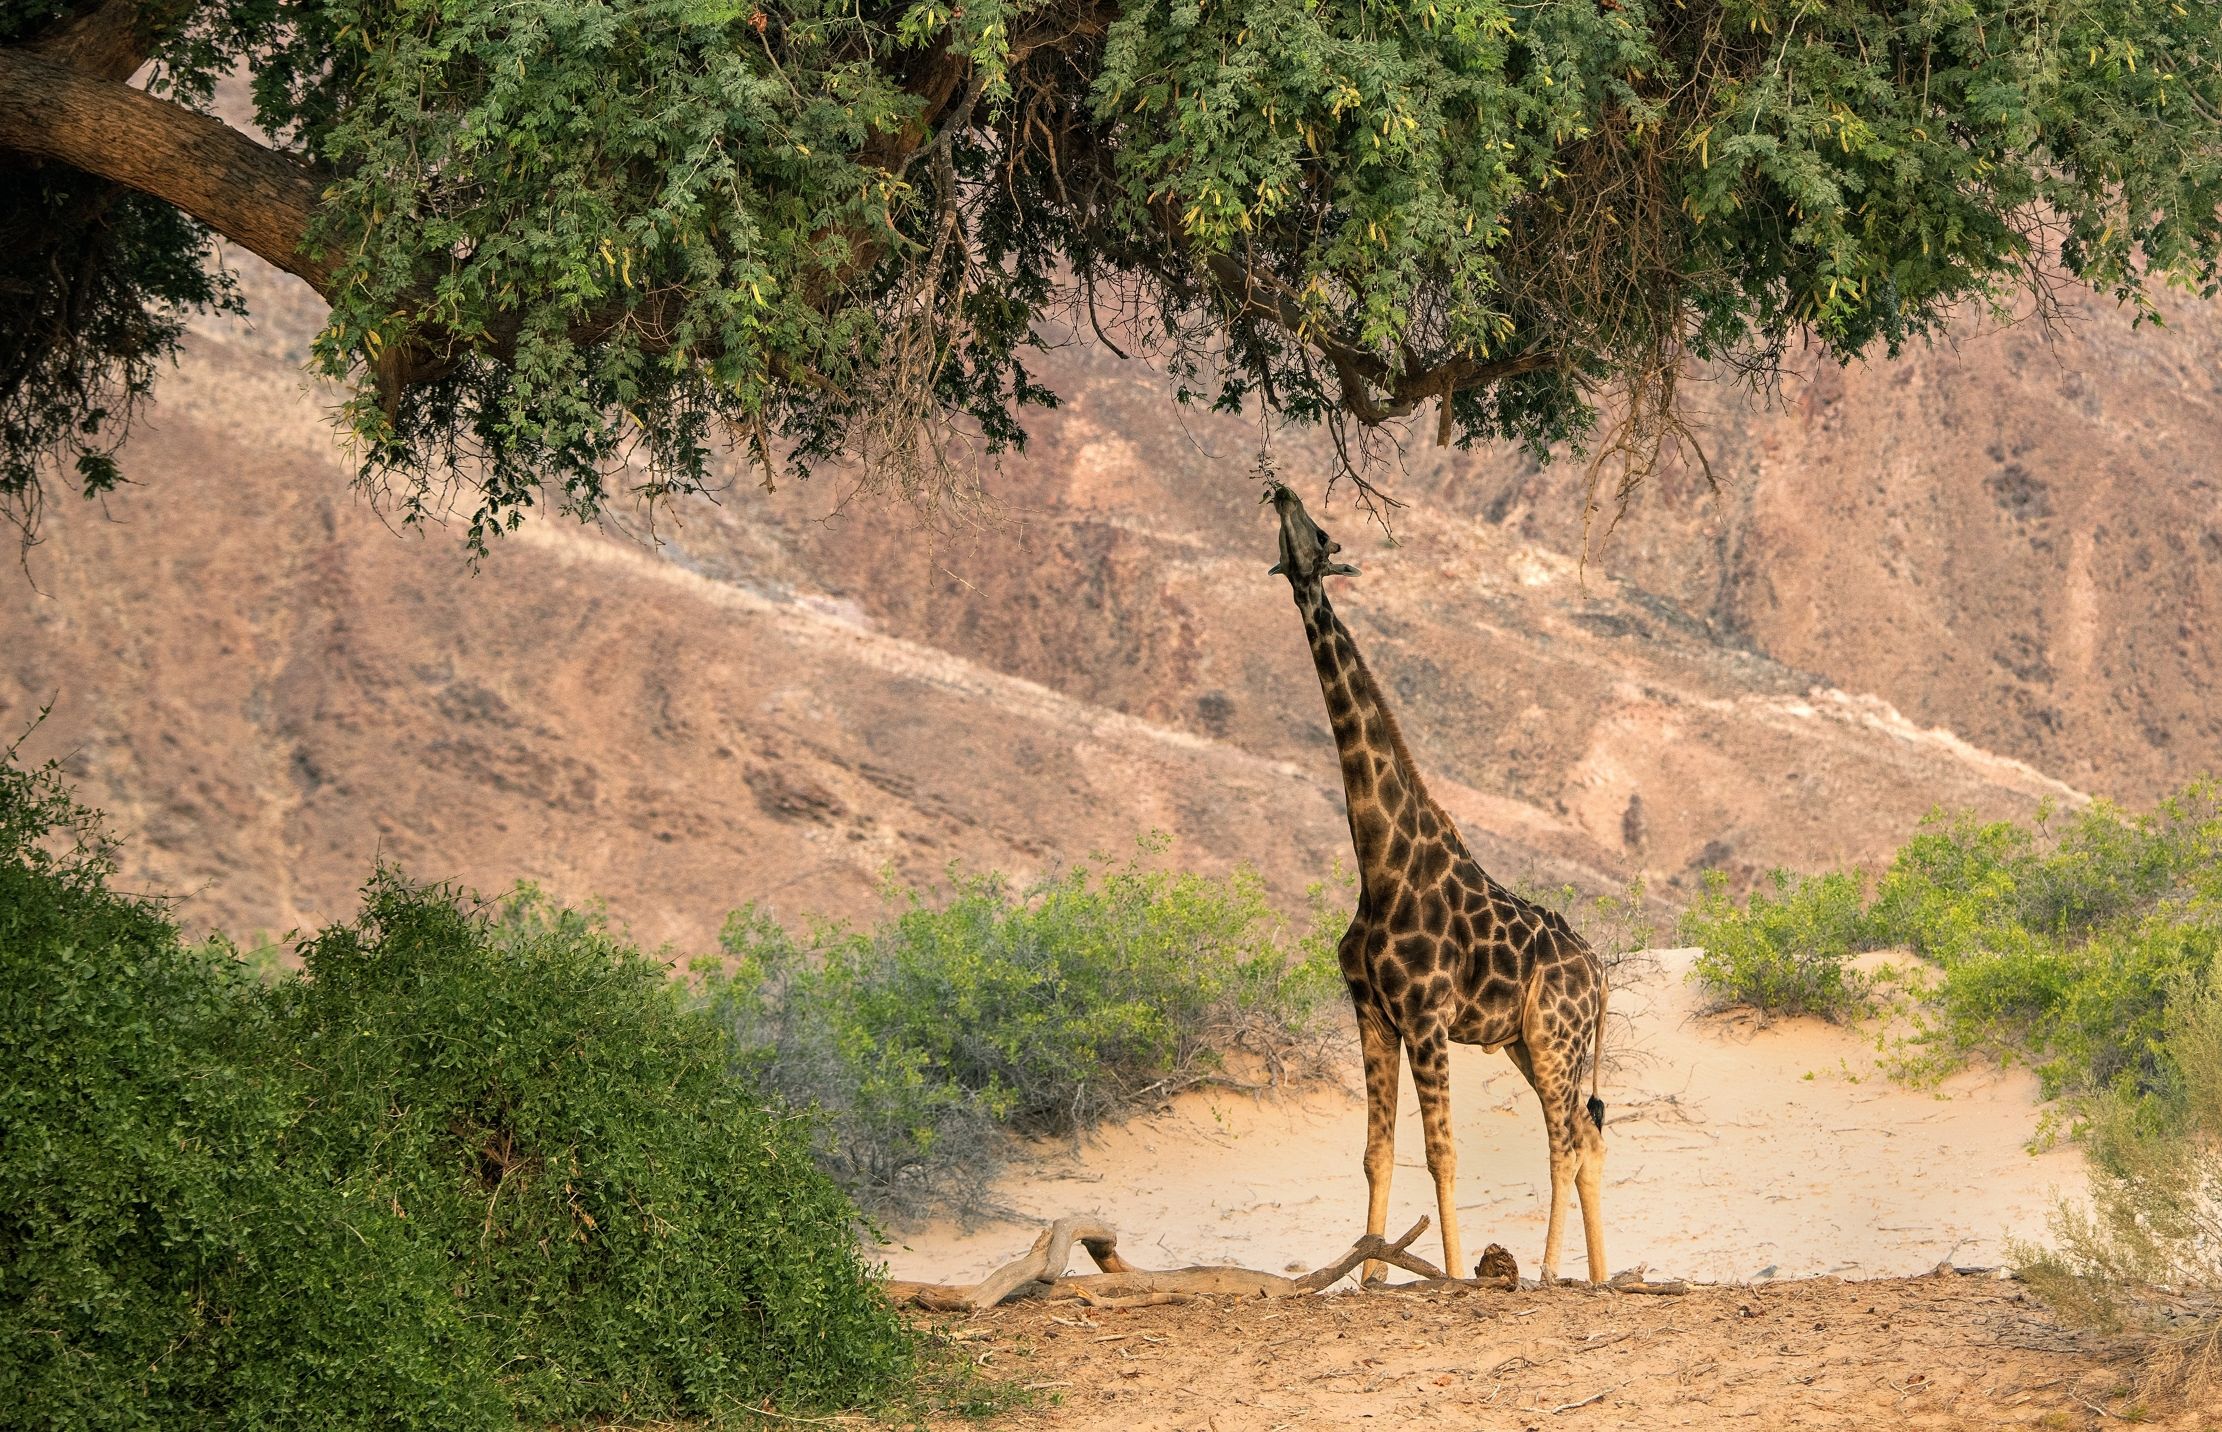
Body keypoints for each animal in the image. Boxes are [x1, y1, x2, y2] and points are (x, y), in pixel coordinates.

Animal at [1264, 481, 1609, 1286]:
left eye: (1319, 533)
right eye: (1296, 527)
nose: (1281, 489)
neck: (1381, 860)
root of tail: (1601, 973)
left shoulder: (1425, 1016)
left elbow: (1443, 1153)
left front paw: (1449, 1275)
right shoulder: (1372, 1012)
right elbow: (1376, 1152)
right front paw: (1369, 1275)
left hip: (1556, 1035)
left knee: (1565, 1142)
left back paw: (1549, 1273)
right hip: (1528, 1043)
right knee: (1588, 1137)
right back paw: (1603, 1277)